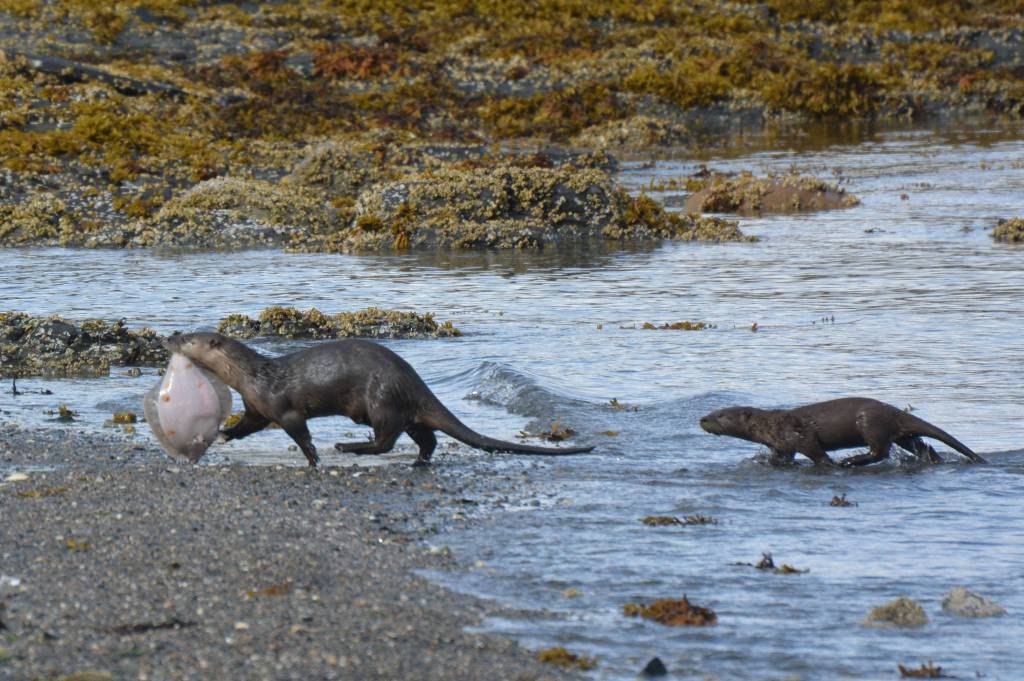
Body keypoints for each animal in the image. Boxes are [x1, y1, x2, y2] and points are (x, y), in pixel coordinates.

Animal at [164, 332, 594, 467]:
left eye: (190, 340)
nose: (170, 335)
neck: (253, 377)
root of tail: (413, 380)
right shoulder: (257, 407)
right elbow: (247, 426)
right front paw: (224, 434)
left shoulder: (283, 407)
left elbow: (300, 432)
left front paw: (314, 458)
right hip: (400, 407)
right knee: (426, 437)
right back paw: (418, 461)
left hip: (381, 399)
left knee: (387, 440)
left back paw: (348, 447)